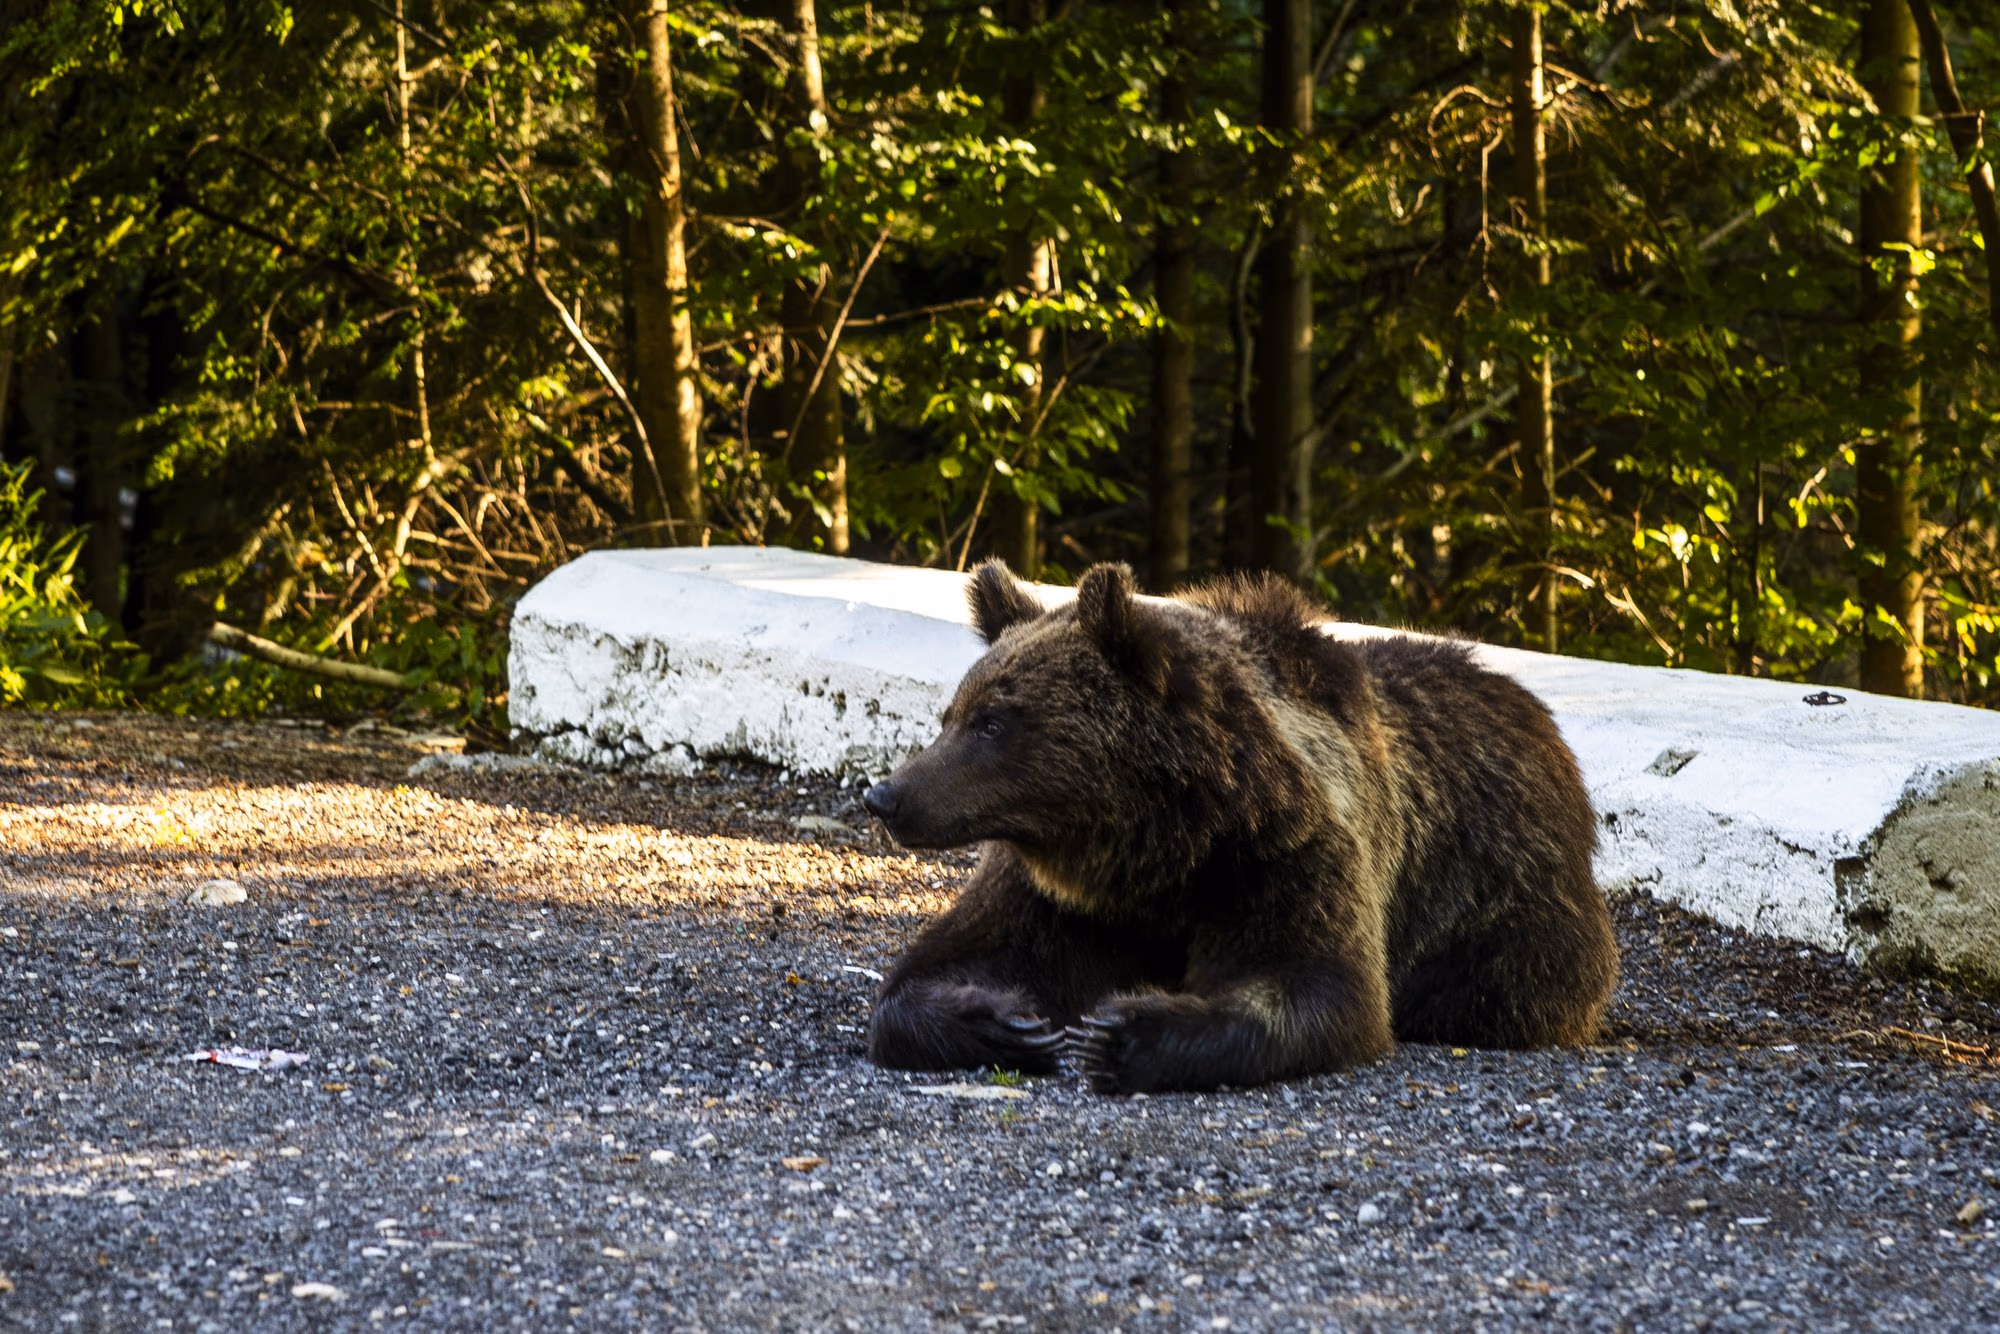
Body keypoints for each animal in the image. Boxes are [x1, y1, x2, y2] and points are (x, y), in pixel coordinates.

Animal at [860, 559, 1618, 1094]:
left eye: (993, 722)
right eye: (953, 714)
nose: (886, 796)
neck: (1161, 847)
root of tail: (1532, 711)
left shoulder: (1281, 853)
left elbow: (1315, 984)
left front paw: (1122, 1031)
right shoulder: (1061, 892)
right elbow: (940, 968)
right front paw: (1010, 1019)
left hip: (1504, 892)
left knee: (1507, 980)